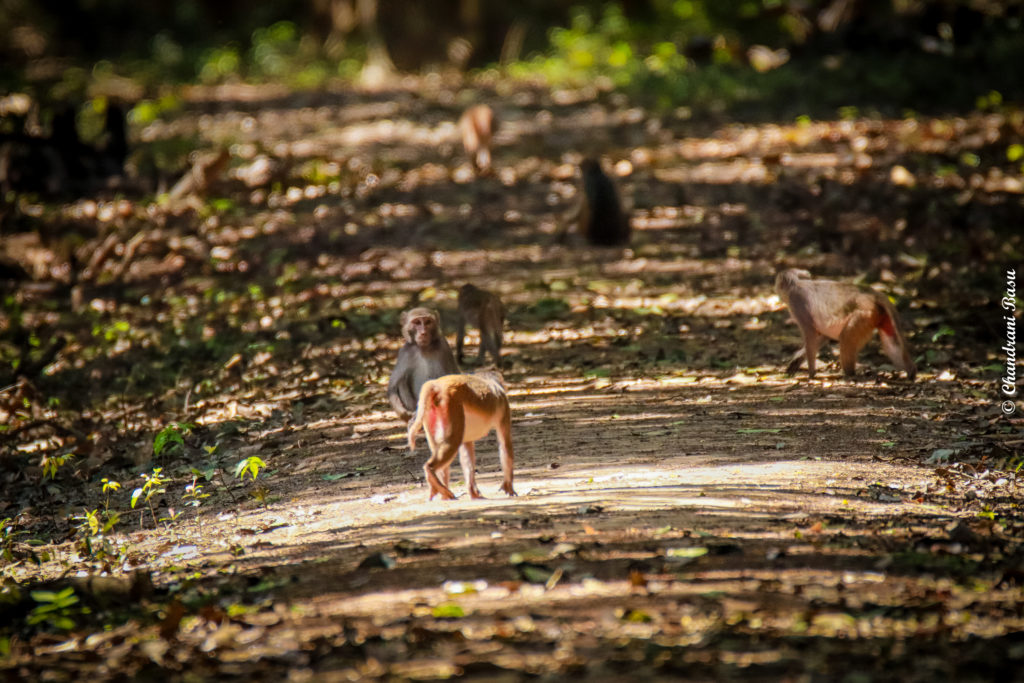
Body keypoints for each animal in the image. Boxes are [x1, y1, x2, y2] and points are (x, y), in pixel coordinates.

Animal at [407, 371, 516, 501]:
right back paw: (431, 471)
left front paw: (473, 492)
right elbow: (505, 444)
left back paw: (442, 492)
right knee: (453, 441)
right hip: (452, 403)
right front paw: (509, 487)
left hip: (430, 412)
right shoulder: (504, 405)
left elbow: (466, 450)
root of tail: (436, 385)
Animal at [775, 268, 916, 380]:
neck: (797, 283)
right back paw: (910, 373)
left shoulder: (797, 303)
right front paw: (797, 361)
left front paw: (811, 373)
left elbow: (810, 333)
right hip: (879, 315)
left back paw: (850, 374)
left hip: (864, 314)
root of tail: (872, 295)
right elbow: (824, 335)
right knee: (892, 342)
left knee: (846, 337)